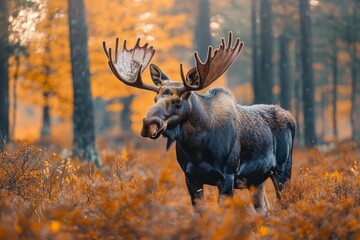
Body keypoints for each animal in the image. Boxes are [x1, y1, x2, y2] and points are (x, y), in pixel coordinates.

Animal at [102, 32, 296, 214]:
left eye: (178, 101)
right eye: (155, 98)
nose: (148, 125)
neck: (197, 149)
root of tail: (292, 118)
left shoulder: (228, 175)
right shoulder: (190, 177)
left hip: (282, 170)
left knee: (283, 204)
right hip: (256, 179)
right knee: (264, 209)